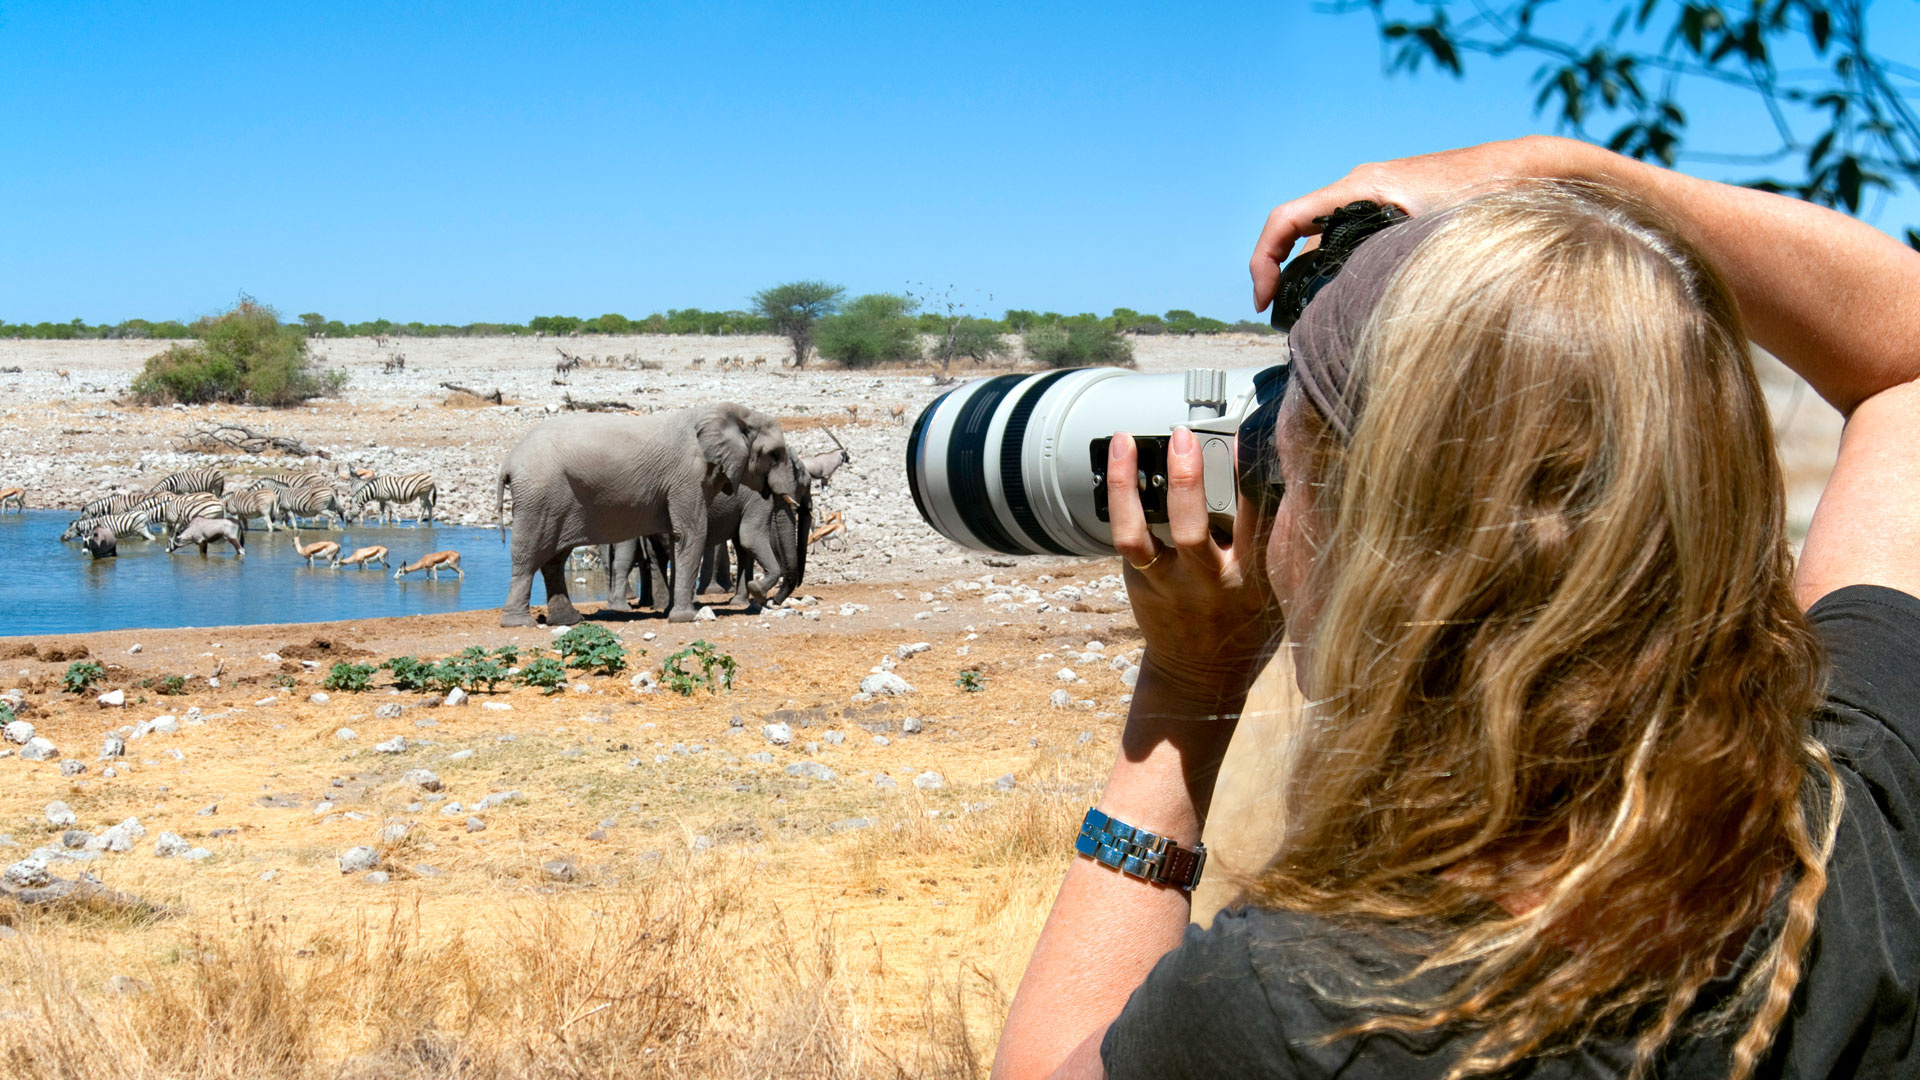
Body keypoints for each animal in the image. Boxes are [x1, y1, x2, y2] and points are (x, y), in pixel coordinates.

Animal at [599, 449, 810, 611]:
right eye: (802, 485)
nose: (775, 601)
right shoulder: (756, 497)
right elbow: (749, 538)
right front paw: (756, 590)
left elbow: (743, 546)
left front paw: (740, 601)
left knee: (654, 556)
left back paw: (659, 607)